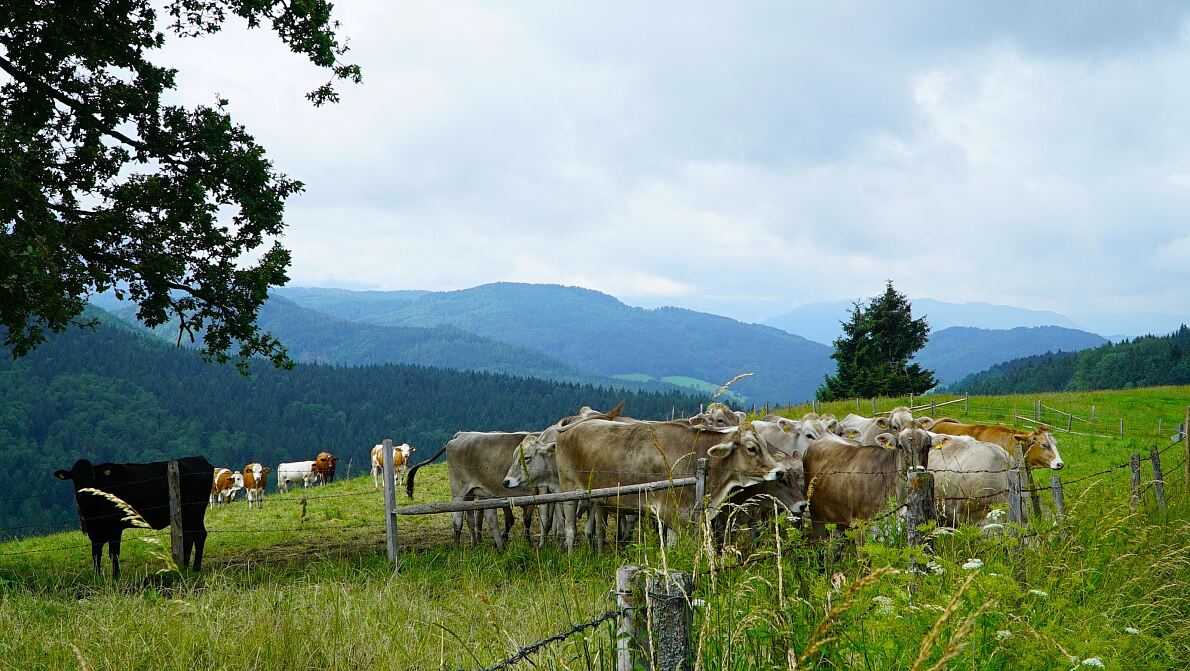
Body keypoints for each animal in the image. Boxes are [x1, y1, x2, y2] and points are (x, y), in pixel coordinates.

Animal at [54, 459, 214, 578]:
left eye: (92, 476)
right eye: (74, 478)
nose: (82, 494)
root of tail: (200, 459)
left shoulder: (115, 528)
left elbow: (114, 554)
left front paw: (115, 576)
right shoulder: (95, 532)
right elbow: (96, 554)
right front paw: (97, 576)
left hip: (195, 510)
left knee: (200, 535)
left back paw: (196, 568)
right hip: (187, 515)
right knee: (188, 536)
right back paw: (185, 566)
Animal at [554, 421, 790, 552]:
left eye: (766, 445)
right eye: (752, 448)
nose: (779, 471)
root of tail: (573, 426)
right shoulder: (672, 513)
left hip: (597, 498)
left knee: (597, 529)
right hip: (569, 489)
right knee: (570, 529)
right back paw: (571, 555)